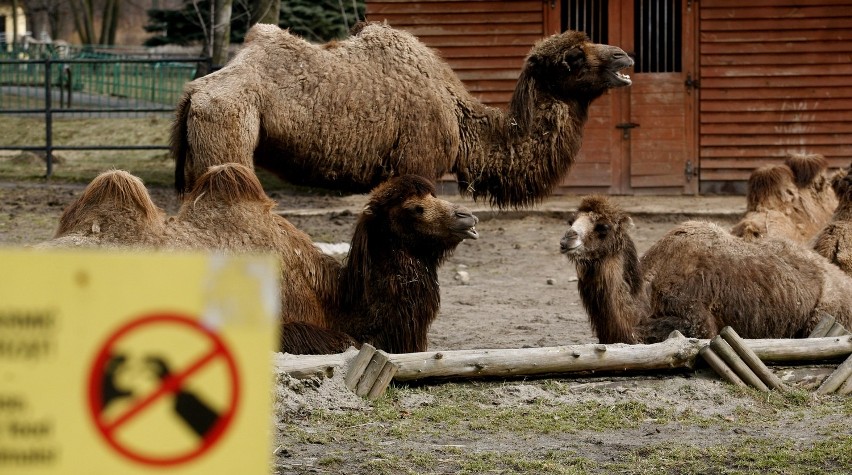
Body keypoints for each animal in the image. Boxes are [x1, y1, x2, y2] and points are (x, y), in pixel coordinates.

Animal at [171, 22, 632, 208]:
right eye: (573, 58)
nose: (624, 56)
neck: (459, 118)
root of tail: (193, 92)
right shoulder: (418, 165)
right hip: (228, 137)